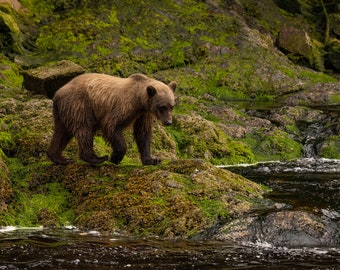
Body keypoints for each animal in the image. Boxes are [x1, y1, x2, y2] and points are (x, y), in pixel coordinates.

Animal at [46, 73, 177, 165]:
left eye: (171, 106)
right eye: (162, 107)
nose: (168, 122)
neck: (140, 100)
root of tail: (58, 93)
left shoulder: (144, 114)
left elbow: (143, 134)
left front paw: (152, 159)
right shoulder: (125, 105)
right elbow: (111, 125)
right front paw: (115, 157)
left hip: (63, 111)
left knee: (61, 132)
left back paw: (59, 158)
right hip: (80, 104)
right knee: (85, 129)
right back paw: (97, 158)